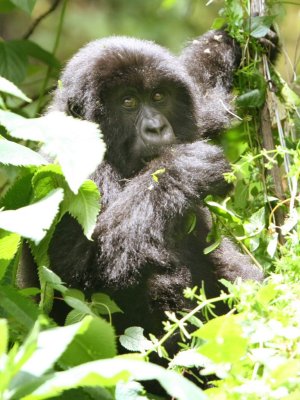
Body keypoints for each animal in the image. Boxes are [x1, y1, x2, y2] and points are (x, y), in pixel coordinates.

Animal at [21, 29, 262, 334]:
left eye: (159, 96)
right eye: (128, 102)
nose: (156, 128)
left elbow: (204, 99)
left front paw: (222, 42)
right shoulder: (70, 173)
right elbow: (84, 283)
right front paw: (185, 166)